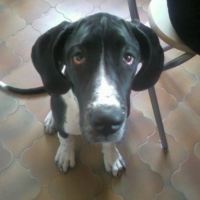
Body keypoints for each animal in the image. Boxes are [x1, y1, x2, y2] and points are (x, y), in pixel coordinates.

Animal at [0, 12, 163, 177]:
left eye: (128, 58)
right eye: (78, 57)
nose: (107, 121)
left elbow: (110, 143)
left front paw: (112, 158)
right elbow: (65, 138)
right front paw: (66, 156)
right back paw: (52, 119)